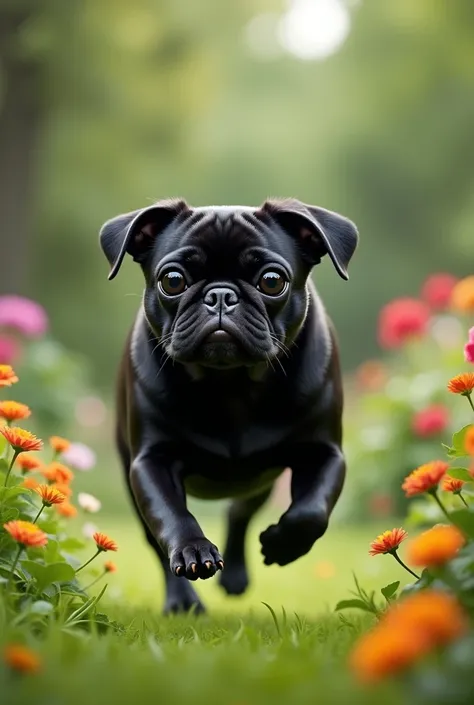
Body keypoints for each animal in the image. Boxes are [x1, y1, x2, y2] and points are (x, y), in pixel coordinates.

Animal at [101, 197, 360, 612]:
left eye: (272, 281)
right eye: (172, 280)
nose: (220, 295)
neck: (231, 384)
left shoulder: (324, 454)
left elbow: (312, 511)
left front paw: (283, 545)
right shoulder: (151, 462)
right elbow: (173, 516)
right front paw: (194, 551)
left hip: (260, 480)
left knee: (240, 509)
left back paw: (236, 575)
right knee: (156, 539)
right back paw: (183, 602)